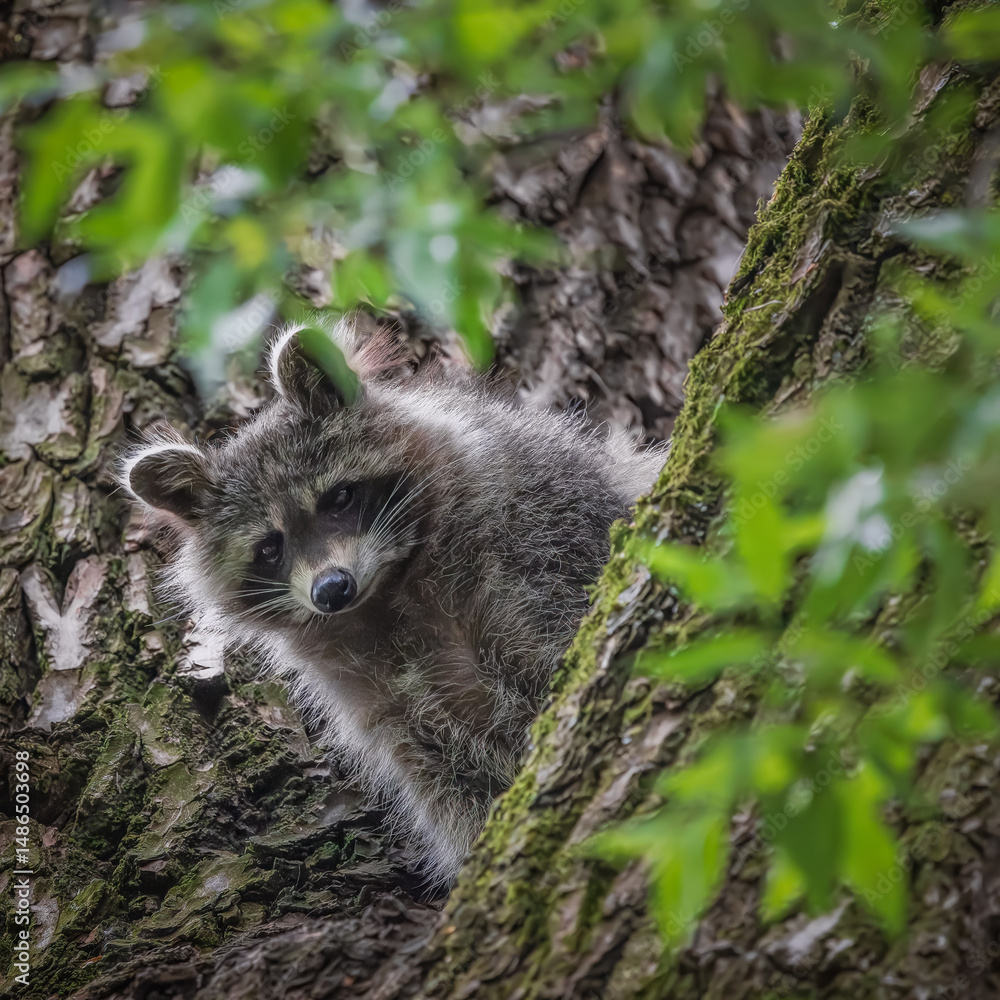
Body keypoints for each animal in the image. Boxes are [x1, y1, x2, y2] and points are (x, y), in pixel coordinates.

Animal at [122, 315, 666, 884]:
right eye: (270, 547)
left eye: (339, 497)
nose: (331, 589)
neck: (387, 596)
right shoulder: (389, 707)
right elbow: (455, 786)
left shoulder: (542, 531)